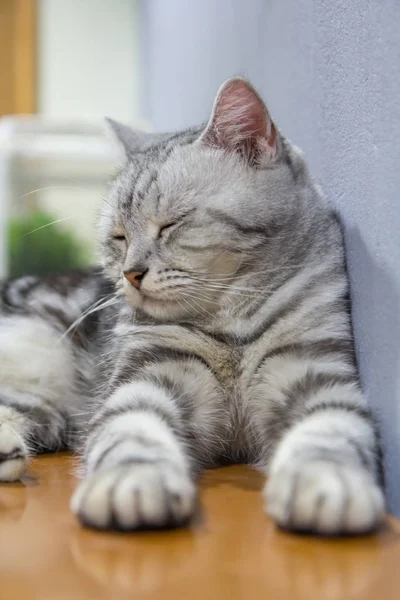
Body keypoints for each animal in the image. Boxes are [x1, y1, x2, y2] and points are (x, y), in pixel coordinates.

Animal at [0, 78, 384, 536]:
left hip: (49, 407)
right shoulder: (148, 377)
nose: (131, 274)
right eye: (119, 238)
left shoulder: (315, 374)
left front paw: (327, 484)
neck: (232, 325)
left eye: (171, 224)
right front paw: (132, 483)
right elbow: (134, 433)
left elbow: (329, 433)